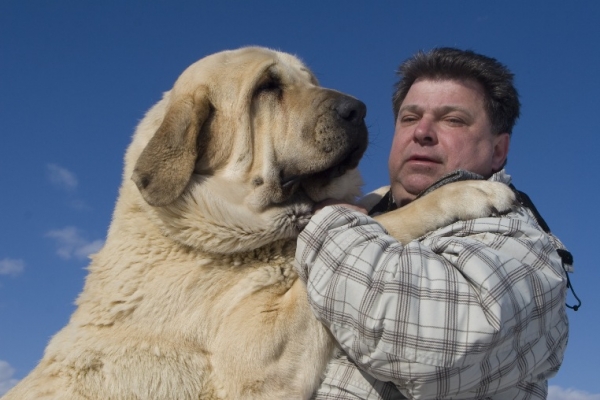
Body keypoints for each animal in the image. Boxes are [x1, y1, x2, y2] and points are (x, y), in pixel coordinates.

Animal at [2, 47, 512, 400]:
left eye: (310, 81)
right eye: (267, 87)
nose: (359, 109)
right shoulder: (259, 358)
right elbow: (388, 220)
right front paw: (468, 192)